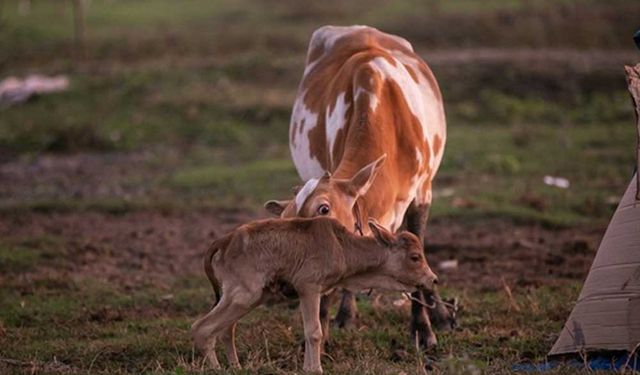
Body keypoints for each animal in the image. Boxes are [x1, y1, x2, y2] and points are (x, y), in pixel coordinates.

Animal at [191, 216, 440, 374]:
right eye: (415, 257)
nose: (433, 279)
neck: (341, 246)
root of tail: (225, 241)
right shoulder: (308, 288)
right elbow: (314, 332)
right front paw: (315, 368)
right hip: (244, 296)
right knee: (202, 327)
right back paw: (215, 367)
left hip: (247, 298)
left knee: (226, 330)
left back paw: (236, 366)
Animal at [264, 25, 450, 350]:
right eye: (285, 219)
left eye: (324, 208)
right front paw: (320, 332)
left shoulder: (422, 193)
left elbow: (417, 244)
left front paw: (423, 329)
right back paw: (346, 313)